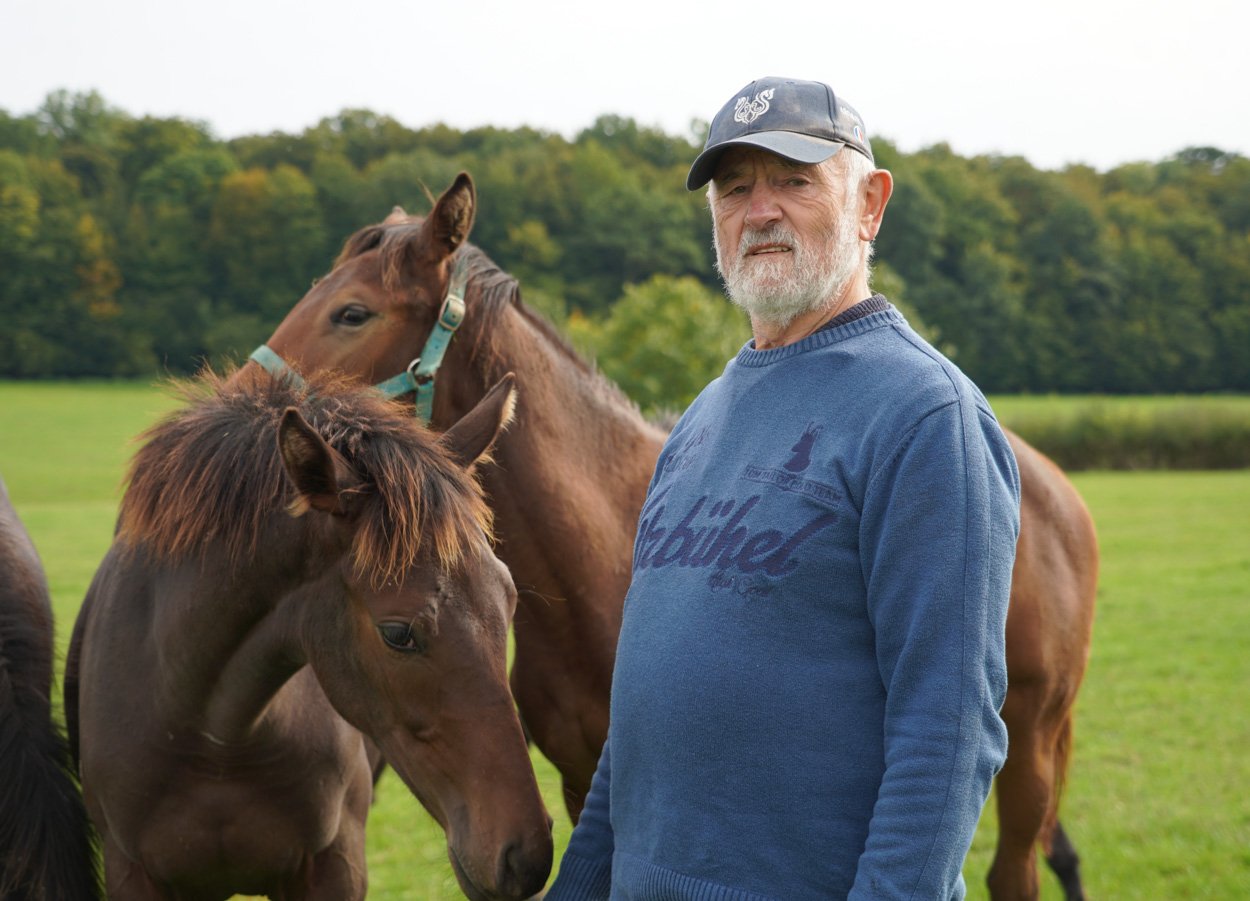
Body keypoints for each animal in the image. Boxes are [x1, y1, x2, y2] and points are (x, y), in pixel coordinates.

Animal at [63, 368, 553, 900]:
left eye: (509, 599)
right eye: (398, 633)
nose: (526, 856)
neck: (218, 740)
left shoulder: (334, 866)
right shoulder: (132, 873)